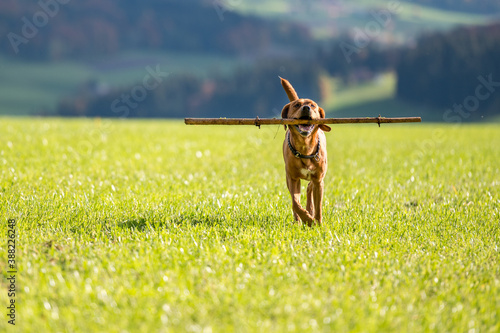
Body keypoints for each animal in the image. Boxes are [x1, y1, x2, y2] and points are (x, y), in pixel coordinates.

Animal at [280, 78, 330, 226]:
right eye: (296, 105)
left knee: (309, 188)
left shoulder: (319, 180)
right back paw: (298, 220)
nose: (306, 108)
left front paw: (317, 223)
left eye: (313, 105)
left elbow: (318, 206)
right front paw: (307, 219)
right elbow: (295, 203)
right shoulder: (292, 179)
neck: (305, 147)